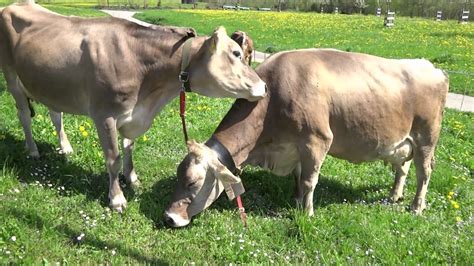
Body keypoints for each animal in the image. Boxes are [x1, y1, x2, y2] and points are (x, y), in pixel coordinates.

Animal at [0, 1, 266, 211]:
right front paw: (117, 198)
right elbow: (113, 158)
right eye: (236, 54)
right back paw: (33, 150)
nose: (263, 85)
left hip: (50, 84)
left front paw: (132, 179)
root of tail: (17, 4)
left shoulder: (133, 116)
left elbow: (129, 148)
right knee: (24, 116)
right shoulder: (105, 115)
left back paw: (65, 148)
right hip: (12, 77)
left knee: (56, 114)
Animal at [166, 48, 448, 228]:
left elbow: (310, 181)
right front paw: (297, 199)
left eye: (192, 182)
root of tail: (432, 67)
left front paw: (307, 212)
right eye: (178, 177)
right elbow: (298, 177)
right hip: (402, 141)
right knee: (403, 167)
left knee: (424, 173)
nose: (169, 217)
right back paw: (394, 195)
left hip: (426, 137)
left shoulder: (317, 140)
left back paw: (416, 206)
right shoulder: (295, 146)